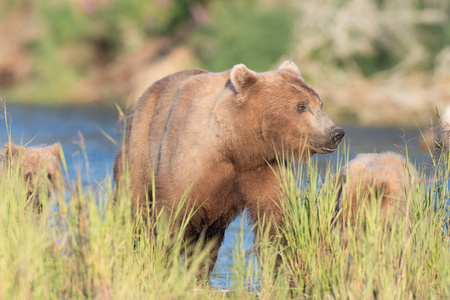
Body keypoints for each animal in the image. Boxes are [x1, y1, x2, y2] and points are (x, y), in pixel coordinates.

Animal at [113, 61, 344, 276]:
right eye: (301, 106)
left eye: (320, 103)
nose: (336, 133)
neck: (236, 146)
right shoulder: (190, 163)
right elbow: (172, 217)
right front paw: (161, 264)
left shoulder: (265, 168)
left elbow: (274, 219)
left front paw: (280, 269)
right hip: (140, 148)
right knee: (133, 206)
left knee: (208, 240)